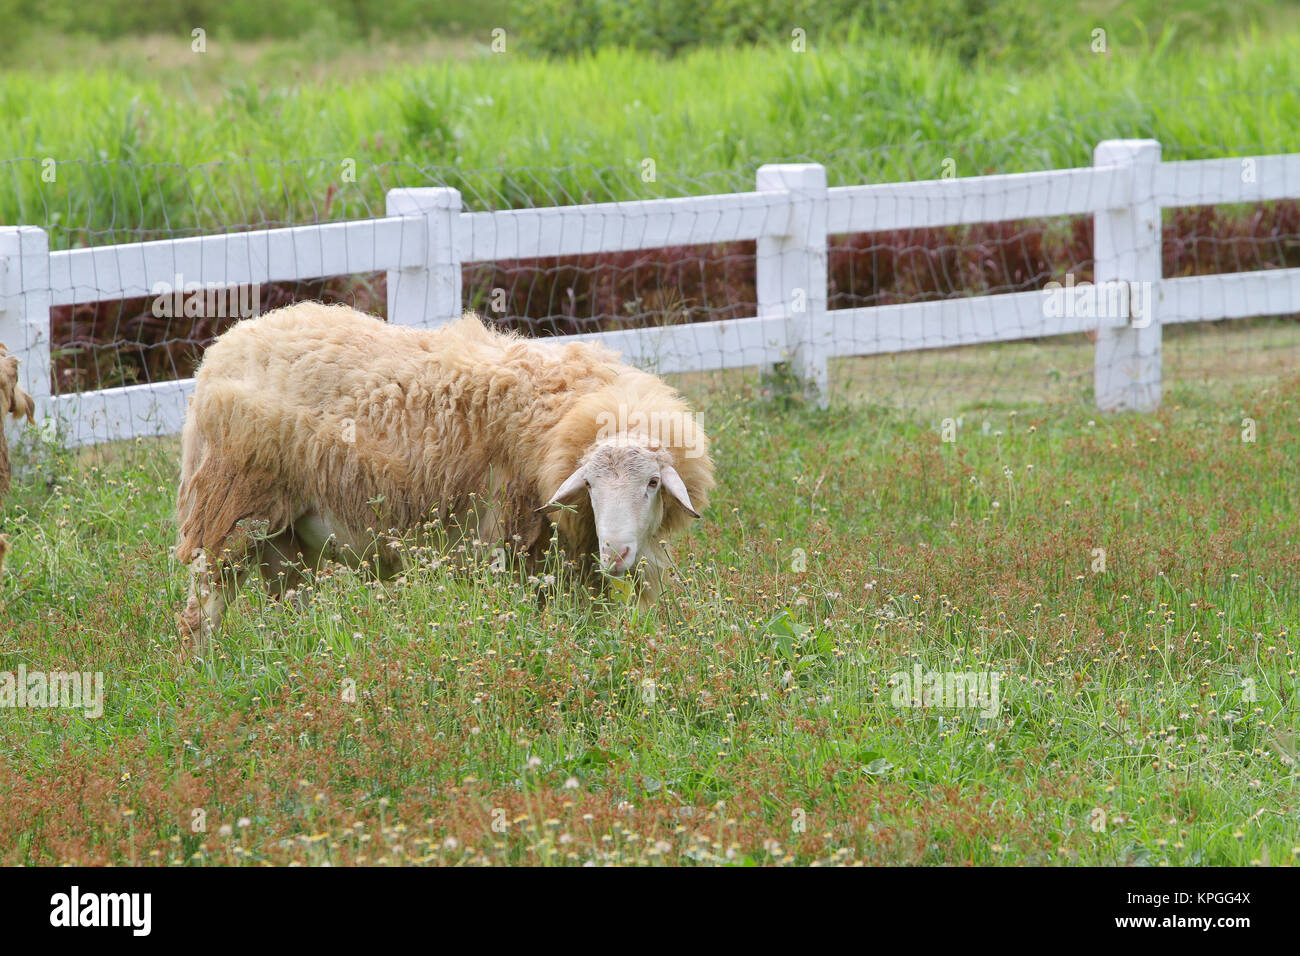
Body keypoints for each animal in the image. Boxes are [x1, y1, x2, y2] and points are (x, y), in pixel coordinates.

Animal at [175, 304, 712, 642]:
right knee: (202, 609)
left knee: (289, 604)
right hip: (229, 507)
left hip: (285, 537)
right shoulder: (514, 547)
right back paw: (204, 669)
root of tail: (224, 347)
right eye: (593, 486)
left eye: (652, 483)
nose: (616, 552)